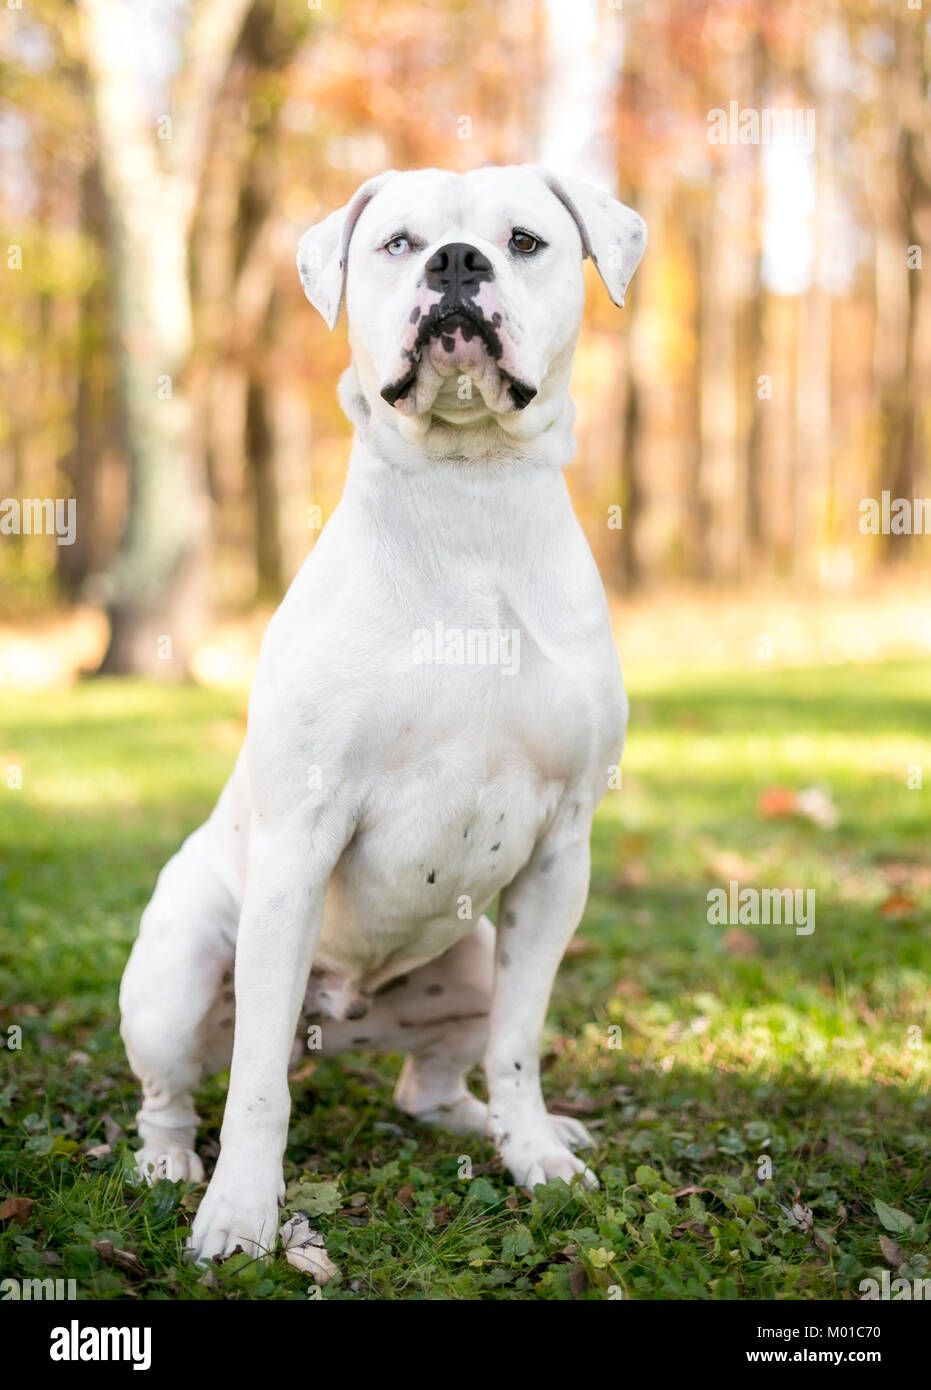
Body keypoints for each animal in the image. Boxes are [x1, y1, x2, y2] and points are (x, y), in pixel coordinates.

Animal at [120, 162, 650, 1262]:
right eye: (398, 243)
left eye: (524, 240)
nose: (456, 263)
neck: (468, 499)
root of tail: (341, 1014)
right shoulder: (299, 843)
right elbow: (254, 1089)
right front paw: (239, 1211)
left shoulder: (559, 854)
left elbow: (521, 1044)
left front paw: (536, 1154)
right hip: (177, 975)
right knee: (176, 1088)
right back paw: (168, 1162)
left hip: (474, 962)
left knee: (437, 1078)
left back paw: (486, 1121)